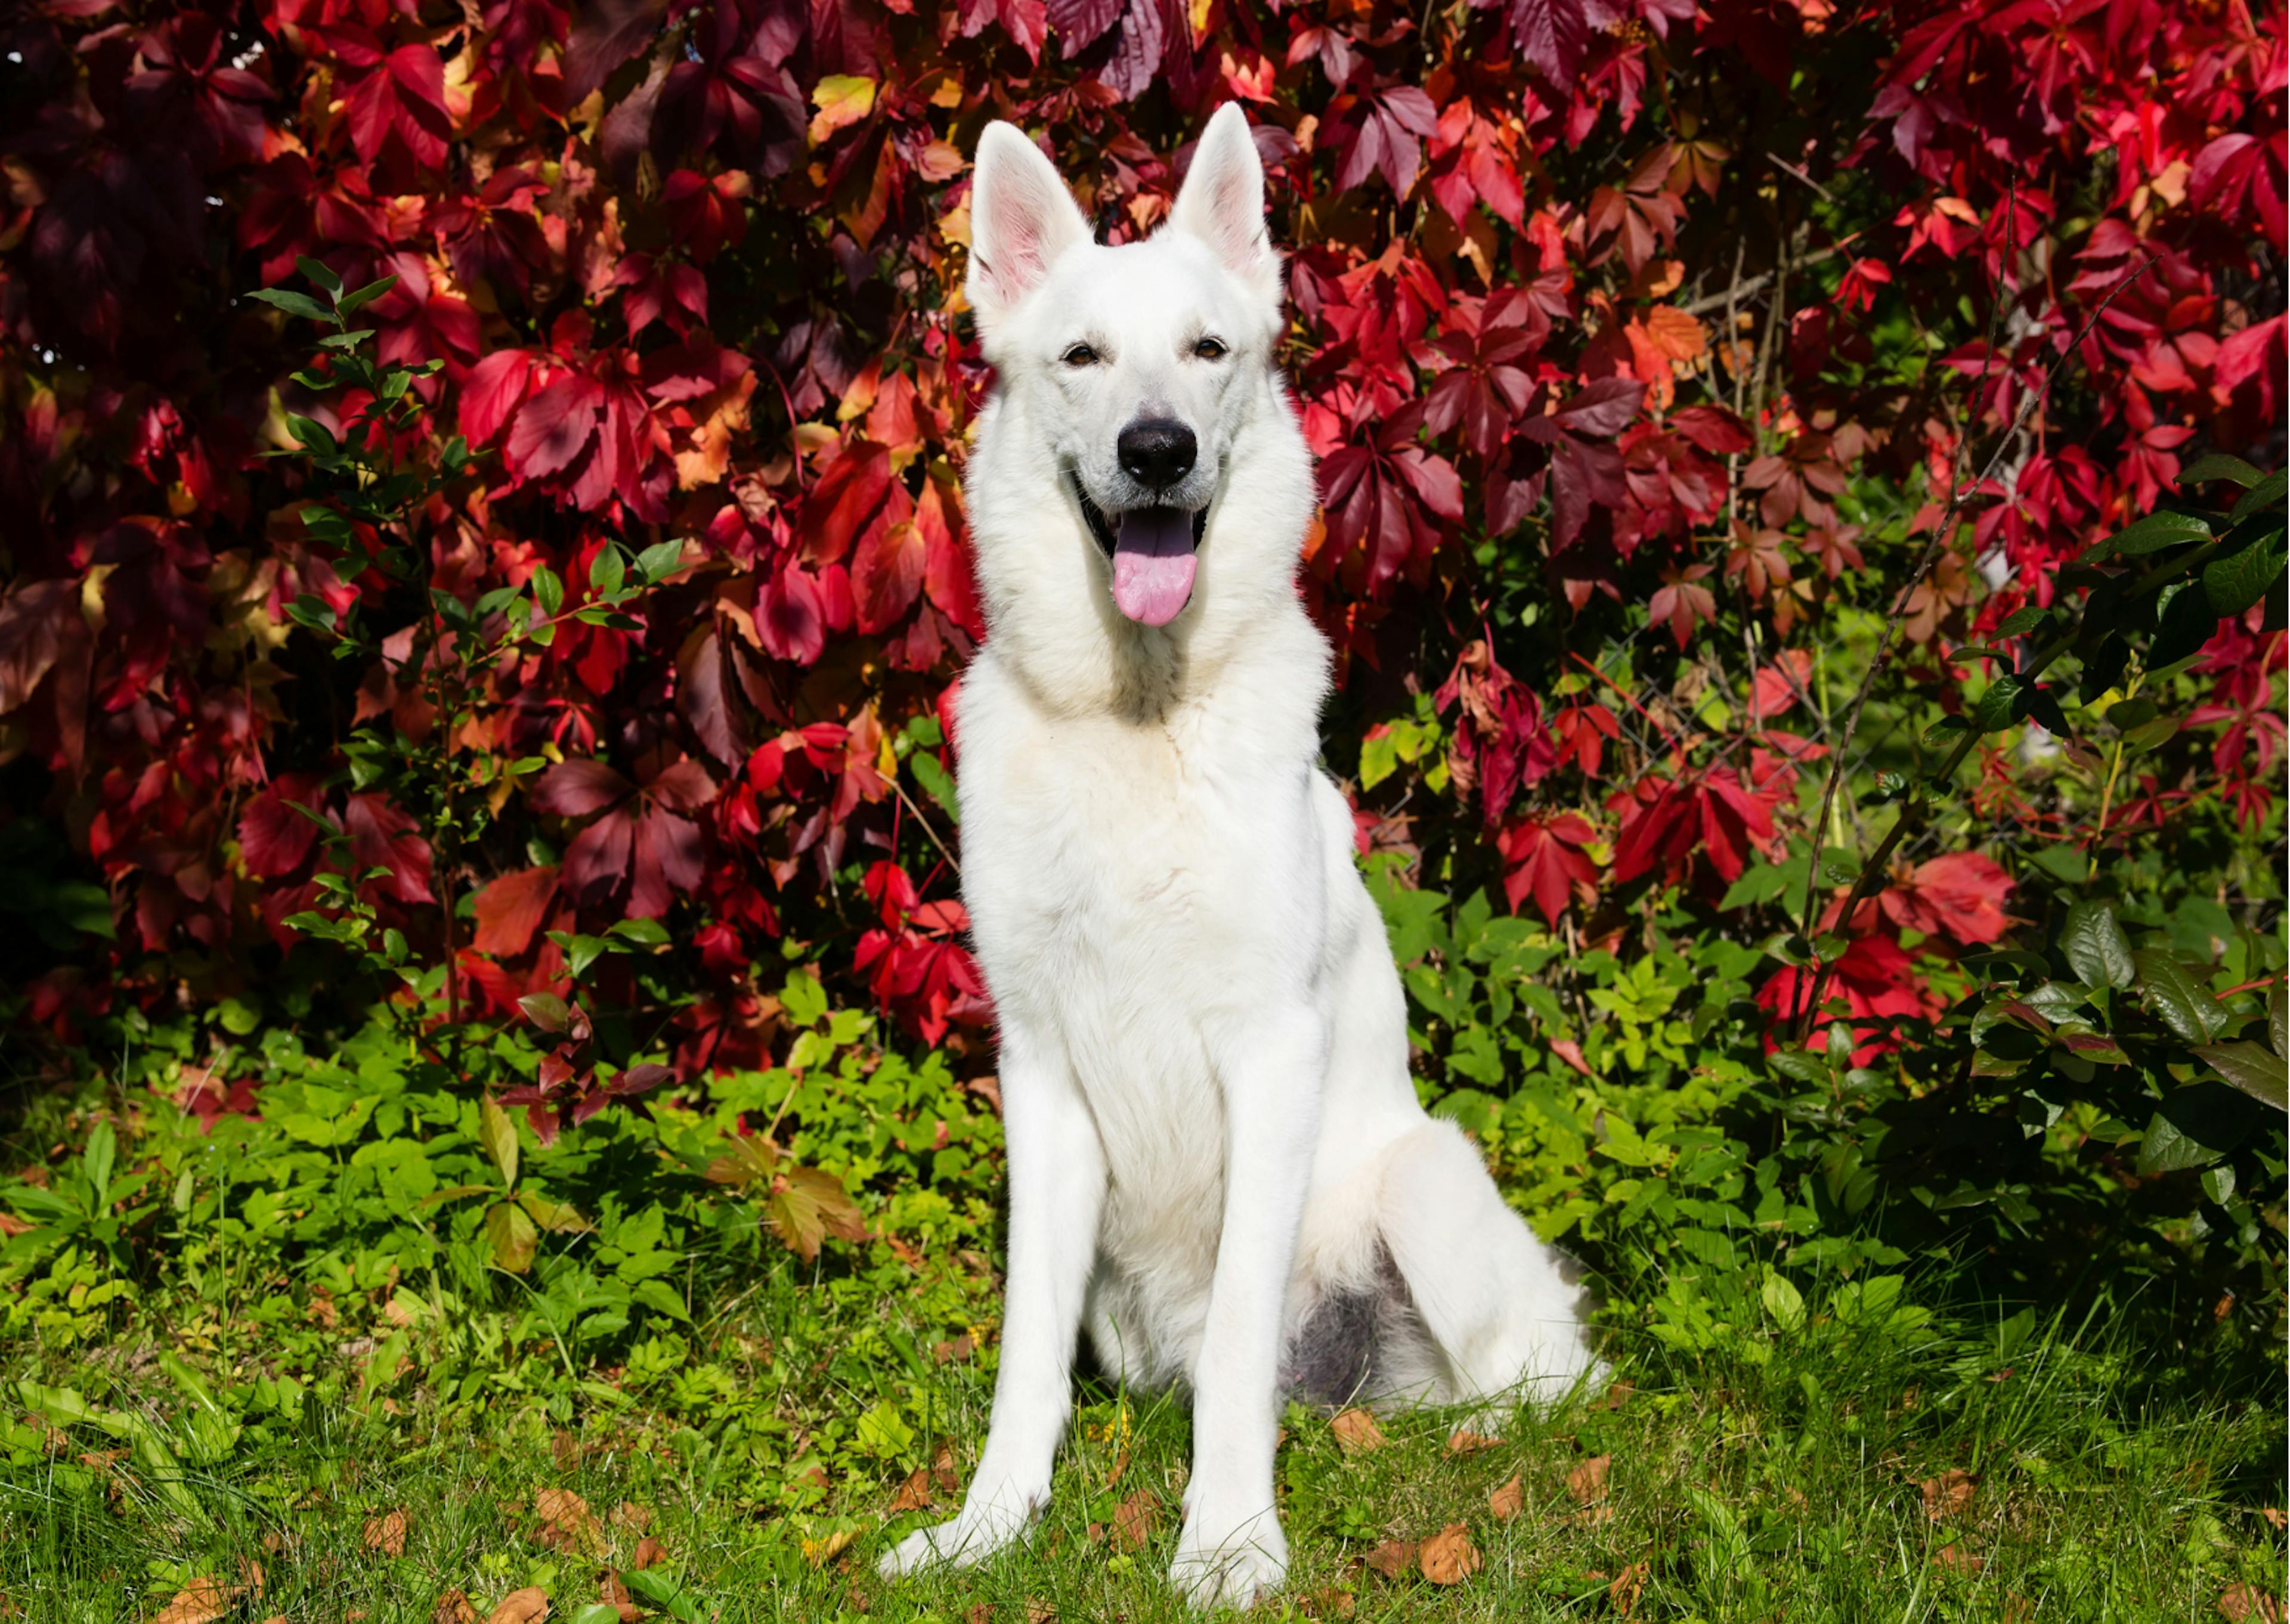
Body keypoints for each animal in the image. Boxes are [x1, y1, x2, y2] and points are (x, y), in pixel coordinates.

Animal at [874, 104, 1593, 1612]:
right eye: (1081, 358)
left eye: (1209, 351)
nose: (1155, 451)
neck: (1139, 720)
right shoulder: (1041, 1076)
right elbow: (1026, 1358)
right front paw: (985, 1526)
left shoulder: (1269, 1056)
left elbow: (1234, 1368)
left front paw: (1228, 1541)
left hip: (1425, 1183)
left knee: (1543, 1378)